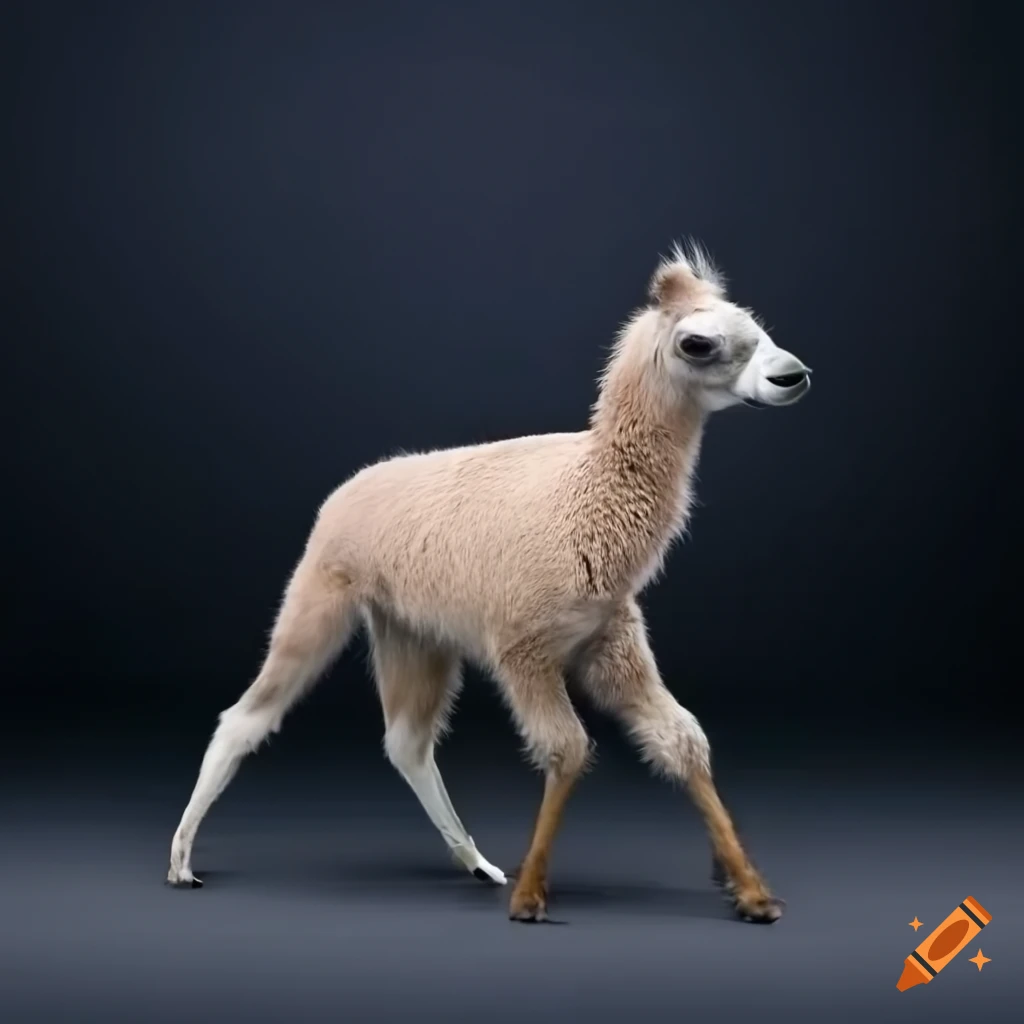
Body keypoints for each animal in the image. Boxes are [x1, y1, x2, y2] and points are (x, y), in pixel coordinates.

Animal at [167, 242, 811, 923]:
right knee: (246, 717)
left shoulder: (611, 641)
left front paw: (750, 889)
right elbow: (567, 749)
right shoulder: (522, 649)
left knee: (407, 742)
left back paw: (477, 863)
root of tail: (351, 487)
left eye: (753, 322)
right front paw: (530, 897)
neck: (583, 499)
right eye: (698, 342)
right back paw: (182, 861)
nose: (792, 375)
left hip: (413, 632)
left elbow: (683, 739)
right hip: (319, 596)